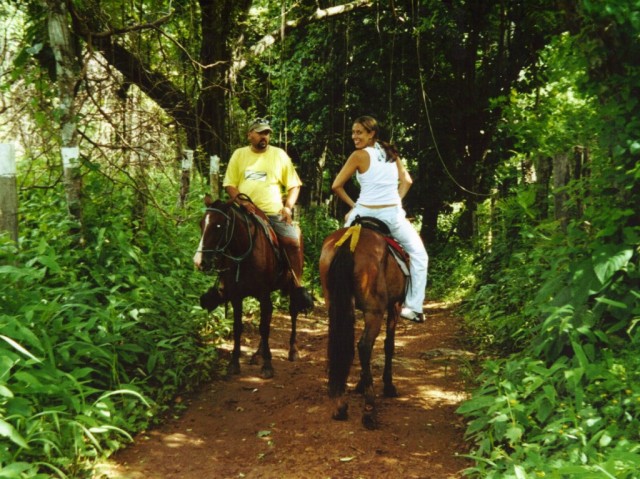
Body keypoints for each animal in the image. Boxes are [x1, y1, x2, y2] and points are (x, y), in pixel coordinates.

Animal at [192, 194, 310, 378]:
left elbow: (263, 327)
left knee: (292, 312)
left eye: (218, 225)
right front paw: (234, 363)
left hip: (292, 283)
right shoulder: (236, 297)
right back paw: (258, 353)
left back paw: (293, 350)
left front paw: (267, 365)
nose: (199, 262)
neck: (243, 252)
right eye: (201, 224)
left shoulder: (263, 293)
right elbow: (238, 327)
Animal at [318, 222, 404, 432]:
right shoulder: (395, 304)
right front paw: (388, 386)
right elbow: (389, 345)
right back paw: (369, 410)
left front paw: (360, 384)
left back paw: (340, 405)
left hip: (334, 304)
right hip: (375, 311)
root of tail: (351, 238)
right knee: (364, 346)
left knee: (341, 345)